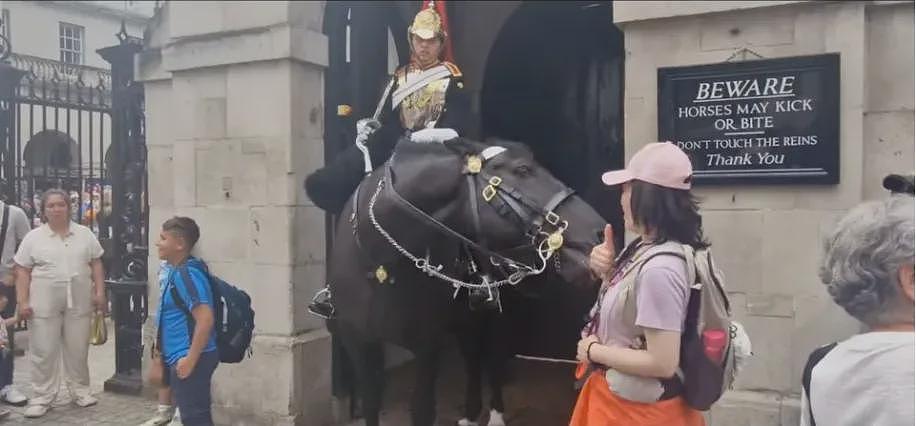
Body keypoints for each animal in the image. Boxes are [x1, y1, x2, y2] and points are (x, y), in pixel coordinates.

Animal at [326, 138, 604, 424]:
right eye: (523, 169)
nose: (599, 231)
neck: (381, 265)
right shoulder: (357, 341)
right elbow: (371, 402)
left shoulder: (427, 347)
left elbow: (422, 409)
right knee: (472, 357)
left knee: (492, 357)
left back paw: (494, 413)